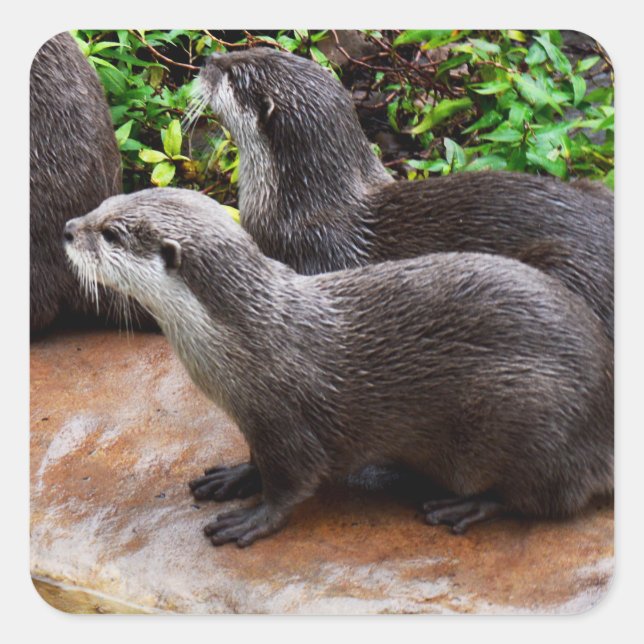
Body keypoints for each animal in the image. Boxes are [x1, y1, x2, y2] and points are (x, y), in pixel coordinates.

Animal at [63, 188, 613, 547]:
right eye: (105, 203)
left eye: (110, 233)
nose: (68, 229)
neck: (249, 340)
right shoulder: (256, 421)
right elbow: (256, 461)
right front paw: (235, 477)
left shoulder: (285, 420)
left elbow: (293, 481)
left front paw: (253, 518)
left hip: (528, 417)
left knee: (546, 499)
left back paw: (466, 505)